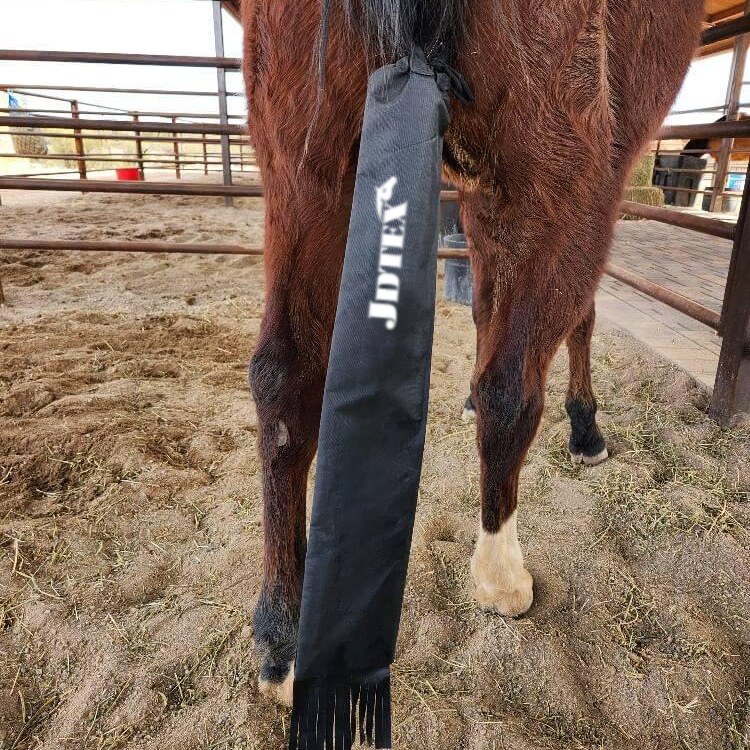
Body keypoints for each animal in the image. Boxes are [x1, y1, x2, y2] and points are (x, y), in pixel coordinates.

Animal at [240, 0, 705, 704]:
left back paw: (283, 637)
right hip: (560, 165)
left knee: (283, 376)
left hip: (304, 155)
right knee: (511, 388)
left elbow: (488, 303)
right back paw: (501, 574)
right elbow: (569, 323)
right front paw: (586, 428)